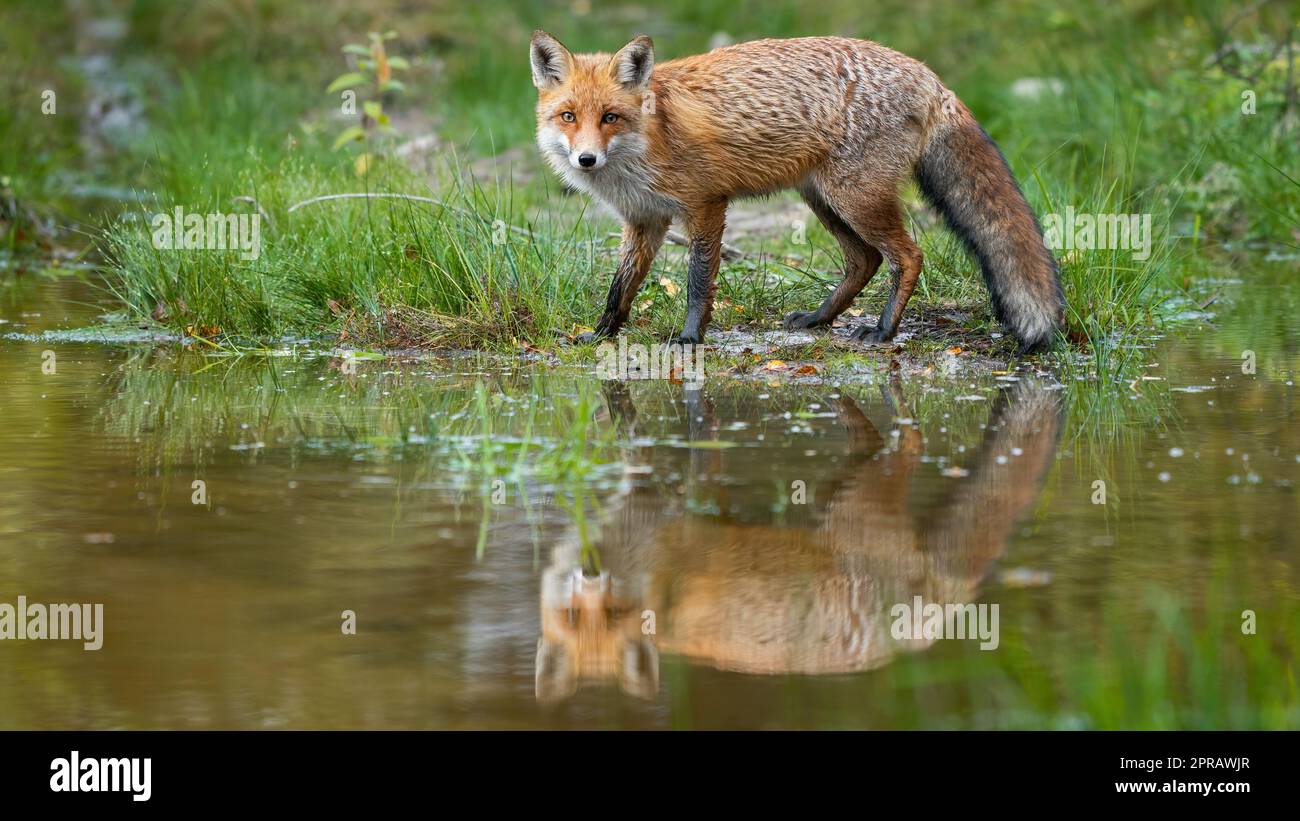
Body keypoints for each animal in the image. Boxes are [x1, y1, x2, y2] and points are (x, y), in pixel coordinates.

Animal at [530, 33, 1066, 353]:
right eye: (568, 116)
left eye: (610, 117)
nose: (586, 160)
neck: (644, 145)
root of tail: (928, 75)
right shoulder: (644, 220)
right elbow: (620, 289)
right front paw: (600, 334)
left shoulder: (706, 206)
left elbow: (698, 283)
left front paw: (689, 337)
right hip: (825, 201)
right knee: (865, 260)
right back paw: (819, 319)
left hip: (855, 199)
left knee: (908, 256)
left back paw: (884, 330)